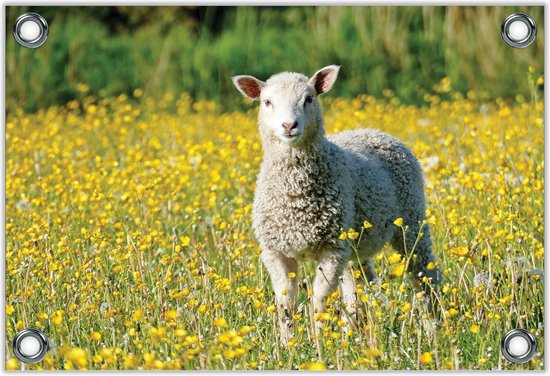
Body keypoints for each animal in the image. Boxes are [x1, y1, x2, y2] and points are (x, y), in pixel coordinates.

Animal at [233, 65, 444, 344]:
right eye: (267, 102)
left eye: (309, 99)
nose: (289, 125)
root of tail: (376, 131)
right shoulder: (276, 252)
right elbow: (285, 303)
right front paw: (288, 345)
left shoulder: (332, 249)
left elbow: (319, 301)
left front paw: (318, 342)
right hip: (355, 245)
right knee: (360, 287)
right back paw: (355, 337)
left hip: (411, 221)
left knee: (424, 275)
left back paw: (435, 327)